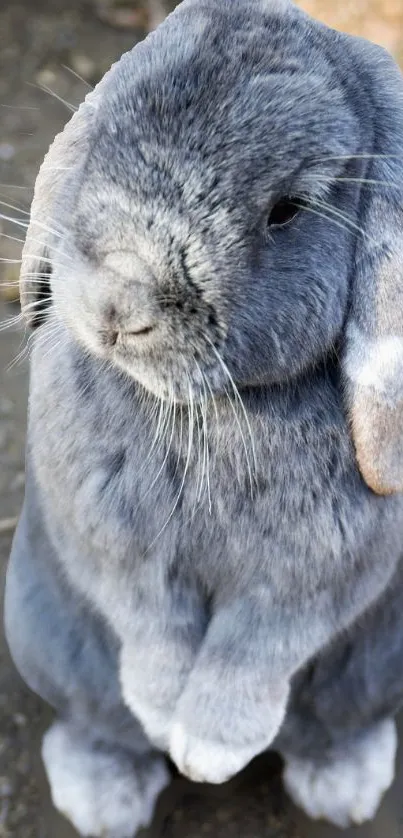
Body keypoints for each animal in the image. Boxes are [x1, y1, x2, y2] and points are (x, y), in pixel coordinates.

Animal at [4, 0, 403, 836]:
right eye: (104, 131)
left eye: (286, 210)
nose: (118, 302)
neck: (210, 410)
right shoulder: (112, 546)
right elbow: (148, 623)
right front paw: (165, 720)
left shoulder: (314, 578)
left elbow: (255, 648)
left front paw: (209, 752)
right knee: (95, 724)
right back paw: (103, 800)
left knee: (335, 726)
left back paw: (342, 788)